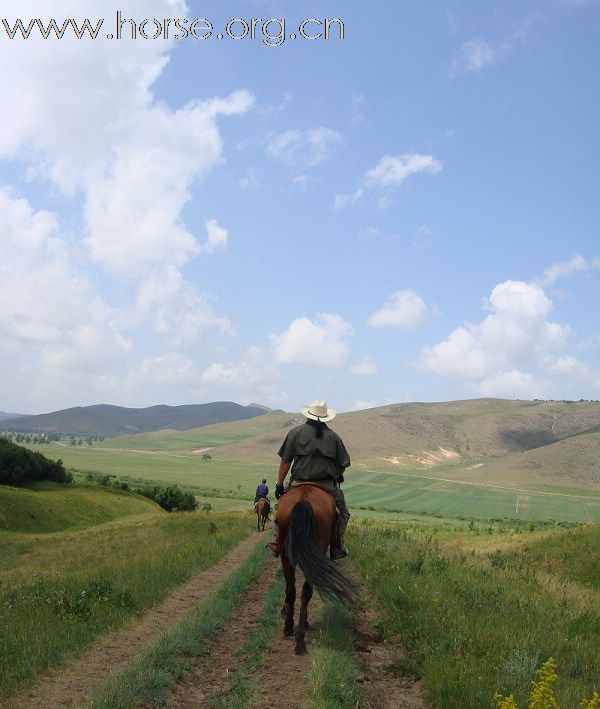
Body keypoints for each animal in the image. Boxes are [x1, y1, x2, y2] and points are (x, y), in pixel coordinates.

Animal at [278, 484, 356, 656]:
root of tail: (304, 499)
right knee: (305, 592)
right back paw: (299, 638)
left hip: (286, 553)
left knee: (292, 590)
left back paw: (291, 629)